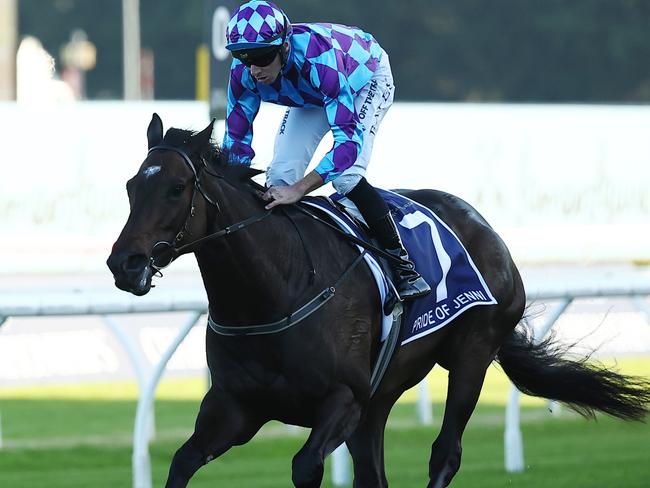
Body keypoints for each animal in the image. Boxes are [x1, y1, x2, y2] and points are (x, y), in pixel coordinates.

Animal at [107, 112, 648, 486]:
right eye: (132, 185)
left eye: (178, 187)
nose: (123, 264)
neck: (274, 289)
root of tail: (486, 228)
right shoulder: (235, 406)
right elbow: (181, 461)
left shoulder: (342, 400)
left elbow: (304, 466)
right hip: (379, 401)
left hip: (472, 354)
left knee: (445, 453)